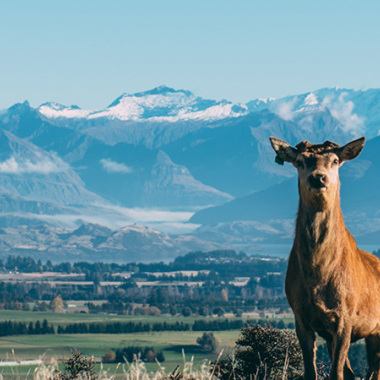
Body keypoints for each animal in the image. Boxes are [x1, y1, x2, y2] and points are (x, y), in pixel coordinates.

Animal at [268, 137, 380, 380]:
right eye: (300, 161)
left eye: (335, 160)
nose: (318, 177)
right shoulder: (300, 316)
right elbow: (312, 371)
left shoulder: (346, 315)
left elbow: (335, 373)